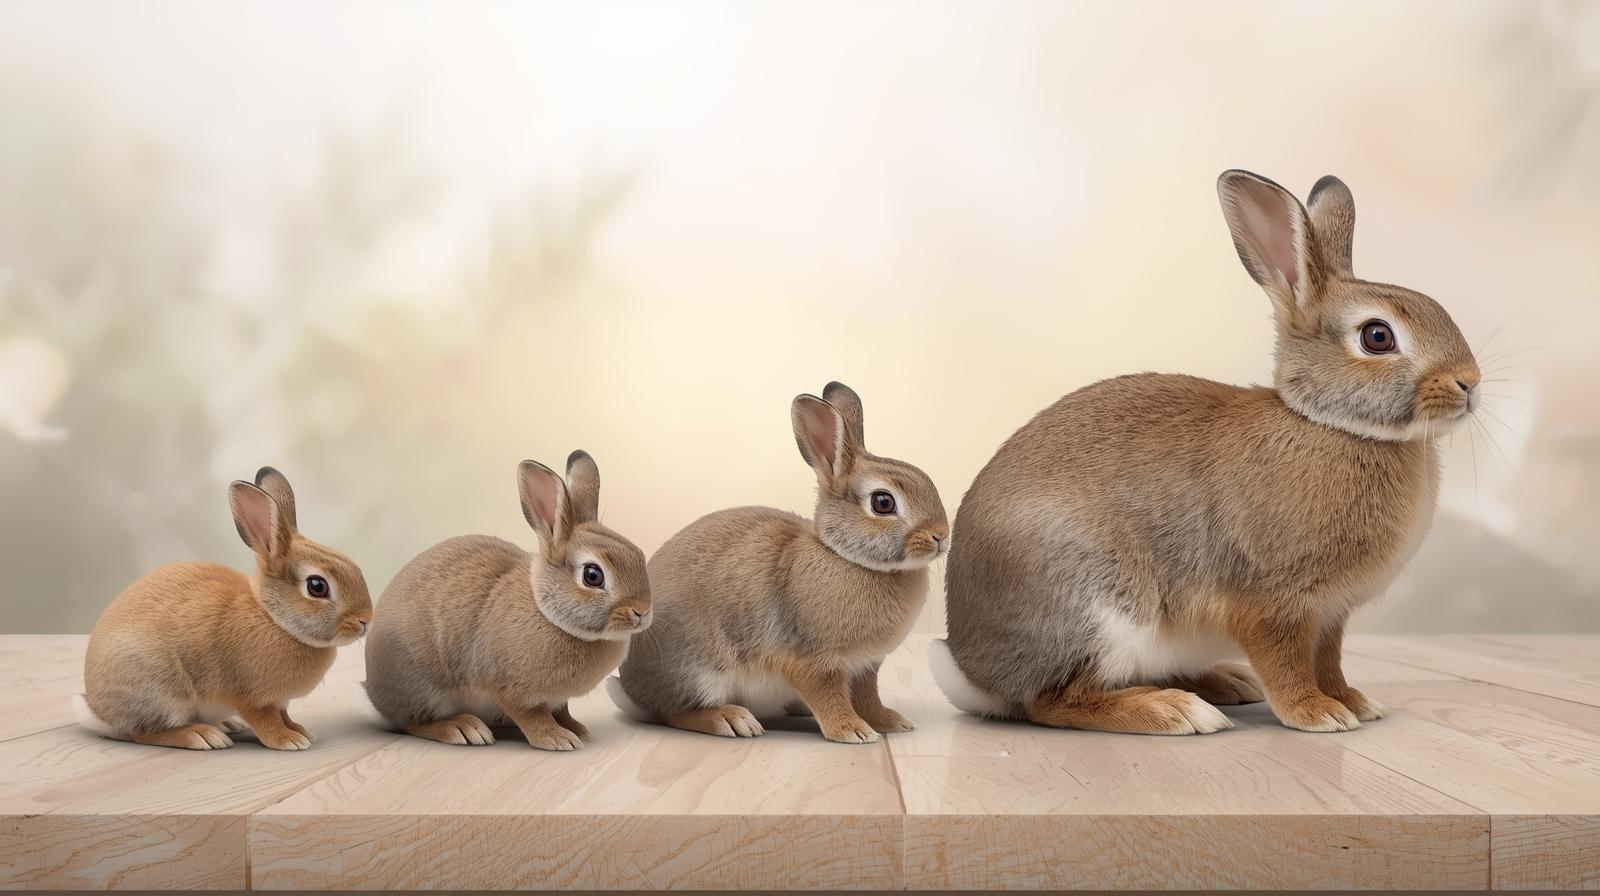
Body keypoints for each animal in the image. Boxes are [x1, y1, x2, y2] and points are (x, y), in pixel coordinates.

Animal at [72, 468, 372, 750]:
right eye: (317, 586)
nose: (365, 621)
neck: (274, 619)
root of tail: (100, 714)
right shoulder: (251, 698)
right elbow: (267, 720)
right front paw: (289, 740)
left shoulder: (280, 701)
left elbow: (284, 714)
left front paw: (300, 730)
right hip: (160, 690)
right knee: (144, 732)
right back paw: (202, 736)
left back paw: (228, 724)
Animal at [362, 452, 651, 751]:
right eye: (592, 575)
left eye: (638, 554)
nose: (642, 612)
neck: (548, 613)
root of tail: (372, 688)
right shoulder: (511, 690)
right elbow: (533, 715)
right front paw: (557, 739)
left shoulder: (558, 699)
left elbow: (562, 711)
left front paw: (577, 730)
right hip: (422, 689)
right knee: (414, 722)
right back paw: (464, 728)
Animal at [609, 382, 948, 744]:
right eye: (883, 502)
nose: (941, 535)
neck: (845, 556)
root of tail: (632, 691)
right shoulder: (811, 661)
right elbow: (828, 696)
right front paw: (852, 731)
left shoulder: (866, 665)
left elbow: (868, 695)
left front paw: (889, 721)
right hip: (697, 671)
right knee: (673, 712)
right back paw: (732, 720)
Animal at [934, 170, 1481, 735]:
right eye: (1377, 337)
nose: (1469, 382)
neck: (1328, 422)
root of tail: (975, 675)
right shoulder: (1271, 603)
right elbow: (1286, 662)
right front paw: (1318, 714)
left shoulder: (1332, 613)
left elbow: (1328, 659)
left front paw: (1354, 702)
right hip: (1101, 606)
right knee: (1056, 700)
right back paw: (1176, 711)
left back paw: (1225, 684)